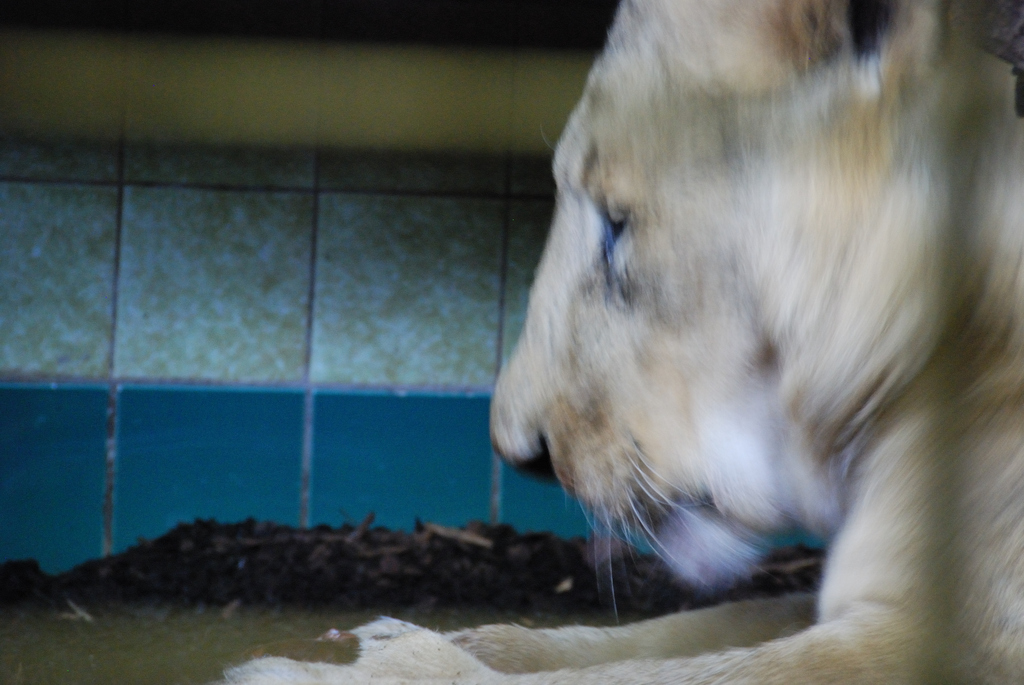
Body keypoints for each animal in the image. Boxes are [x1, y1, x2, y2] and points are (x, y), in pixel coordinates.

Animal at [221, 0, 1024, 683]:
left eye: (614, 225)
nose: (522, 454)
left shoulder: (949, 638)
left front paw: (350, 666)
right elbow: (655, 636)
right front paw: (408, 639)